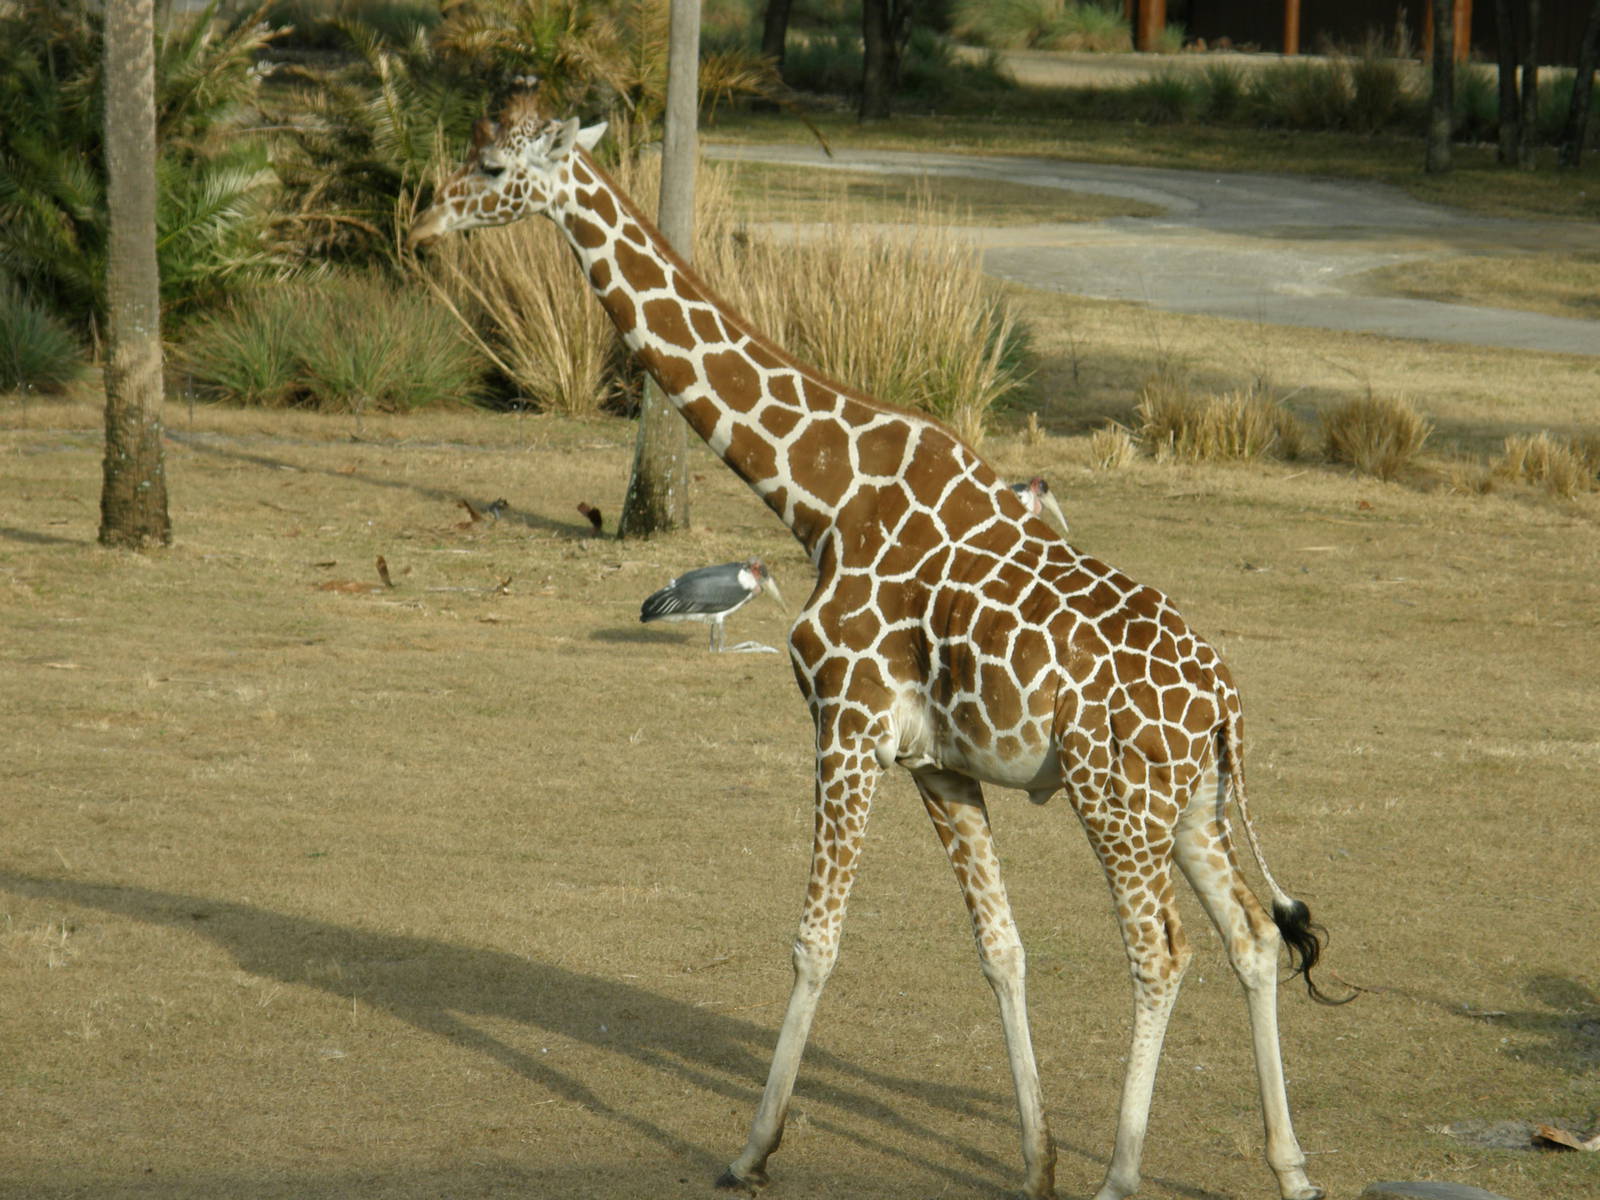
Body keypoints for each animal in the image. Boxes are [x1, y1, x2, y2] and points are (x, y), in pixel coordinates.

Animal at [411, 86, 1342, 1200]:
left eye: (494, 168)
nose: (422, 226)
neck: (819, 496)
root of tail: (1226, 706)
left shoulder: (845, 727)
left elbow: (814, 941)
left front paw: (751, 1149)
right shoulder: (938, 764)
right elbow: (1001, 949)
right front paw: (1036, 1161)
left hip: (1115, 799)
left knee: (1161, 951)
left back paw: (1124, 1174)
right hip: (1192, 805)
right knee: (1250, 937)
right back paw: (1290, 1166)